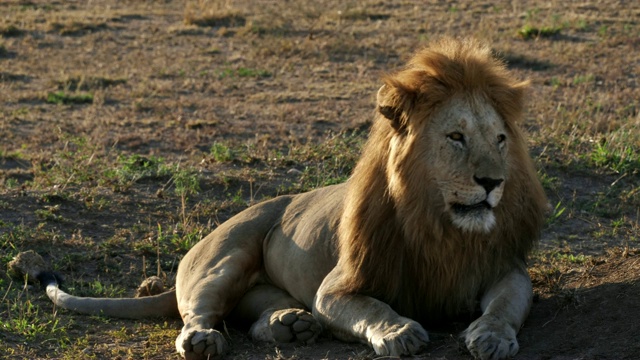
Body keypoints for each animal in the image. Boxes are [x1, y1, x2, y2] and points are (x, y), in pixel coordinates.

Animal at [32, 38, 548, 358]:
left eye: (501, 139)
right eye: (456, 137)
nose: (493, 182)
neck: (440, 228)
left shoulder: (505, 270)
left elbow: (505, 306)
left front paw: (491, 338)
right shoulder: (336, 288)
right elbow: (373, 308)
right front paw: (399, 331)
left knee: (253, 316)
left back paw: (289, 325)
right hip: (224, 258)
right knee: (196, 312)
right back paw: (206, 341)